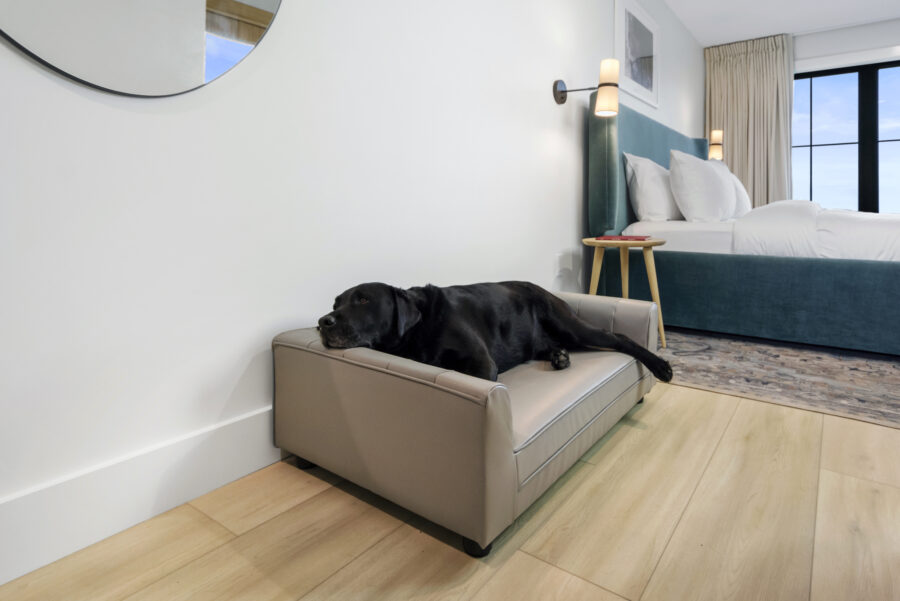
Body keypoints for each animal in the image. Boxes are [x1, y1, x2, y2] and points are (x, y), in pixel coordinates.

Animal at [320, 280, 672, 382]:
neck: (419, 328)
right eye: (336, 302)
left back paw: (661, 366)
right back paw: (559, 357)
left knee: (618, 337)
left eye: (363, 300)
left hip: (571, 326)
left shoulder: (481, 363)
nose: (324, 321)